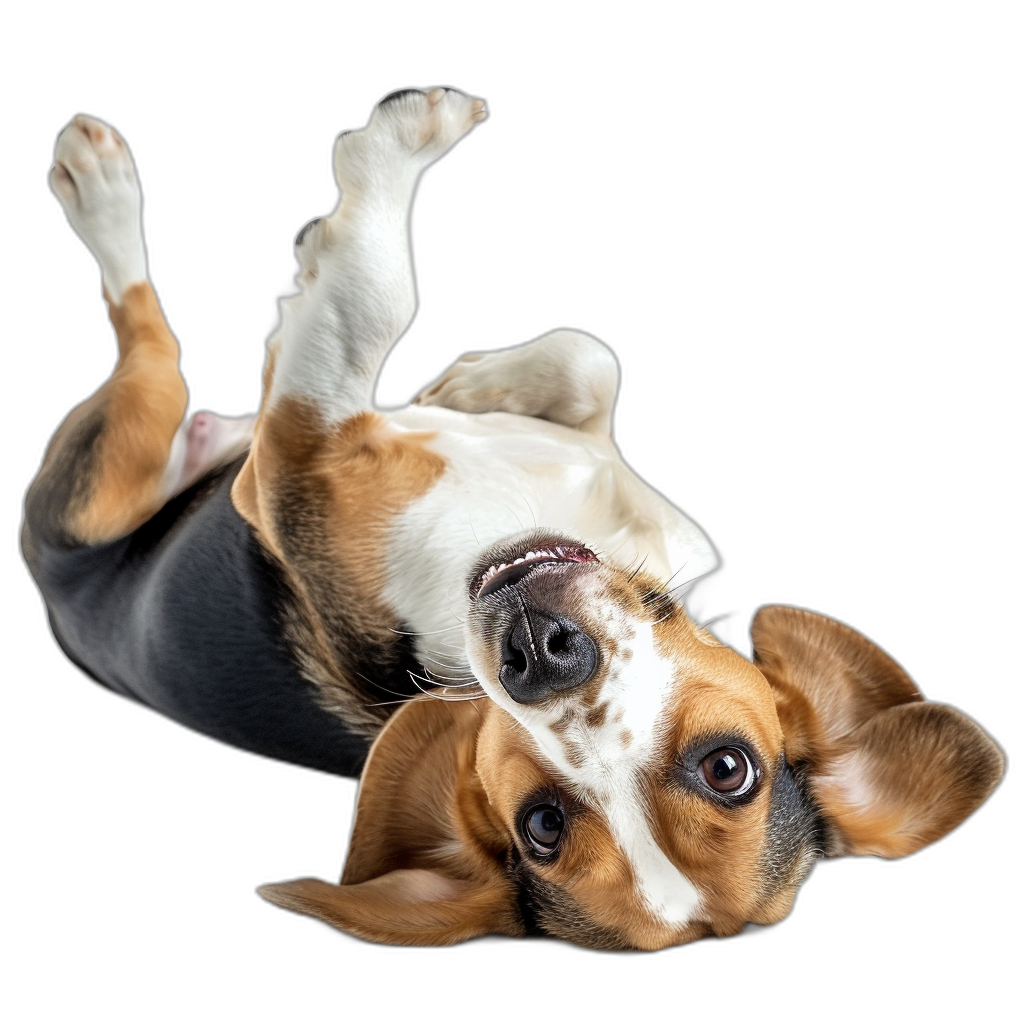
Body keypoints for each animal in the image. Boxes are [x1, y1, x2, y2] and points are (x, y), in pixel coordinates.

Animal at [19, 86, 1003, 950]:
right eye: (731, 769)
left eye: (541, 827)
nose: (539, 654)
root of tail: (59, 596)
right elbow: (585, 356)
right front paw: (470, 384)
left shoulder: (289, 461)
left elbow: (370, 294)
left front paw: (401, 140)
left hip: (114, 457)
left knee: (156, 337)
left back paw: (100, 182)